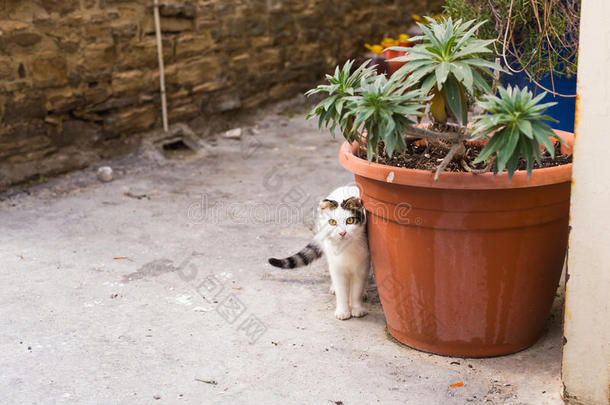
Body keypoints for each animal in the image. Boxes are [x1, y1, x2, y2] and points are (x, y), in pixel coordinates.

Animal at [268, 185, 370, 320]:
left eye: (350, 220)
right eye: (332, 222)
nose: (342, 233)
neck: (346, 249)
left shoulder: (362, 264)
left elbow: (357, 290)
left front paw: (357, 308)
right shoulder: (336, 267)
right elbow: (341, 290)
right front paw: (343, 311)